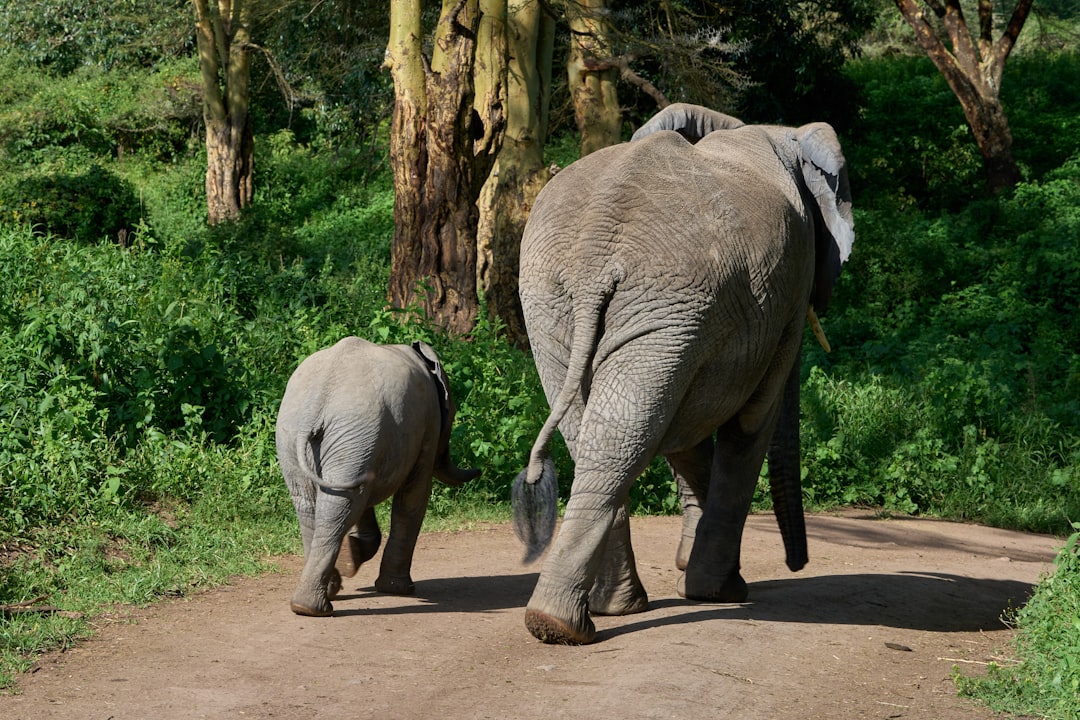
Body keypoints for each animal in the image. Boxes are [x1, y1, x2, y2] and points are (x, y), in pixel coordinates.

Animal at [276, 334, 479, 617]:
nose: (478, 470)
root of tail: (318, 399)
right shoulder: (428, 426)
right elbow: (414, 497)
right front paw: (399, 589)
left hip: (311, 437)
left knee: (318, 504)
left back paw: (314, 600)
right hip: (348, 435)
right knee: (339, 503)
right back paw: (316, 604)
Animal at [511, 104, 851, 643]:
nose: (797, 564)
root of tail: (595, 247)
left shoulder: (702, 321)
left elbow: (682, 428)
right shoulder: (785, 294)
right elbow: (749, 423)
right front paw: (720, 591)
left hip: (569, 303)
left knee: (606, 431)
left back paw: (580, 618)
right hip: (655, 299)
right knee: (629, 427)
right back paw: (572, 622)